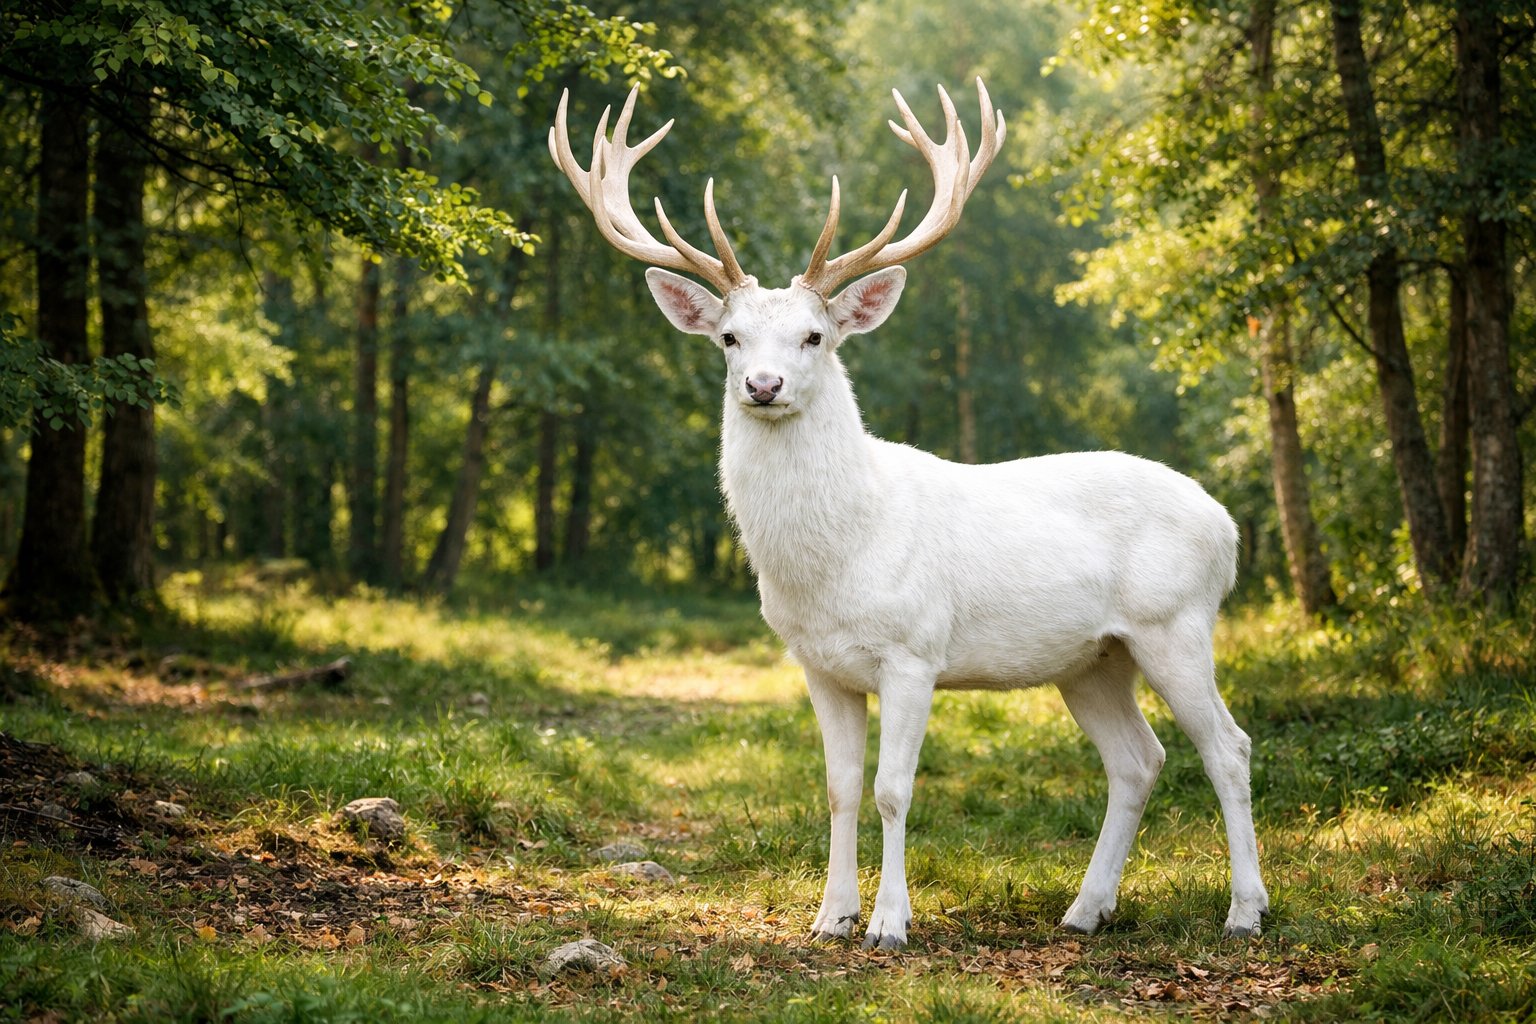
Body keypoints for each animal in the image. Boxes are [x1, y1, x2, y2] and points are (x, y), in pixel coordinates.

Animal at [549, 80, 1268, 948]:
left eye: (814, 336)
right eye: (727, 337)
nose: (763, 385)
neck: (839, 556)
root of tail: (1227, 528)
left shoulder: (914, 650)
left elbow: (893, 789)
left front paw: (891, 923)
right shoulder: (817, 663)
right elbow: (839, 788)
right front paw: (830, 917)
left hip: (1177, 622)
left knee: (1229, 747)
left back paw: (1245, 911)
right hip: (1094, 659)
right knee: (1140, 758)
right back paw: (1085, 910)